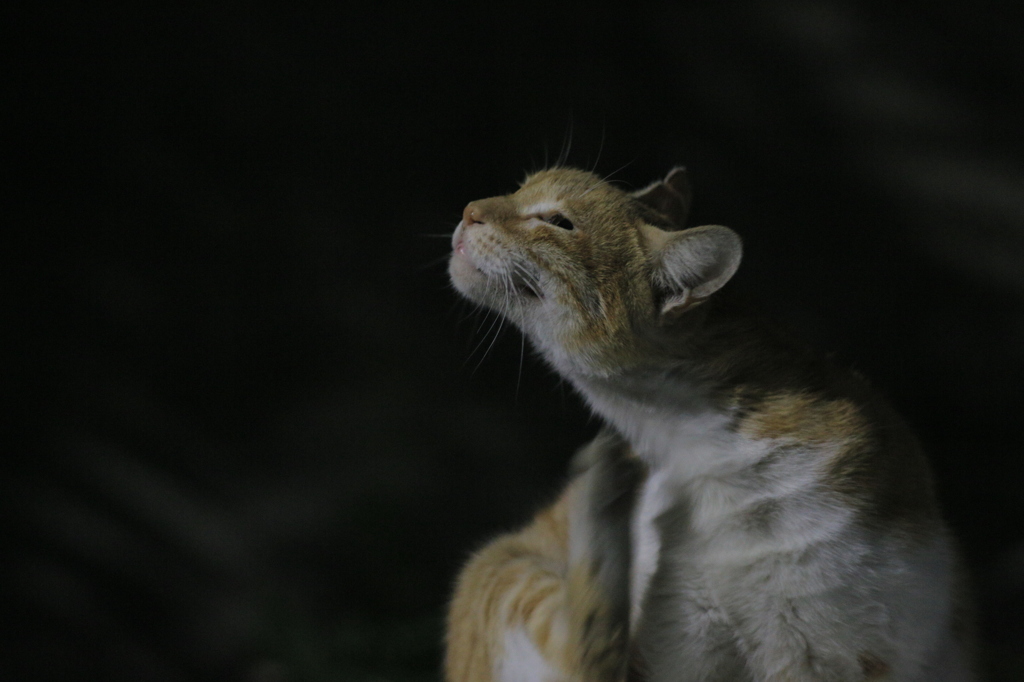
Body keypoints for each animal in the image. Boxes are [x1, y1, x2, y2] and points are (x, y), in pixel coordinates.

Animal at [444, 165, 970, 679]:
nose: (469, 210)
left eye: (557, 222)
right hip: (504, 561)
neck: (694, 456)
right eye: (521, 187)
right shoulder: (680, 645)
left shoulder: (820, 652)